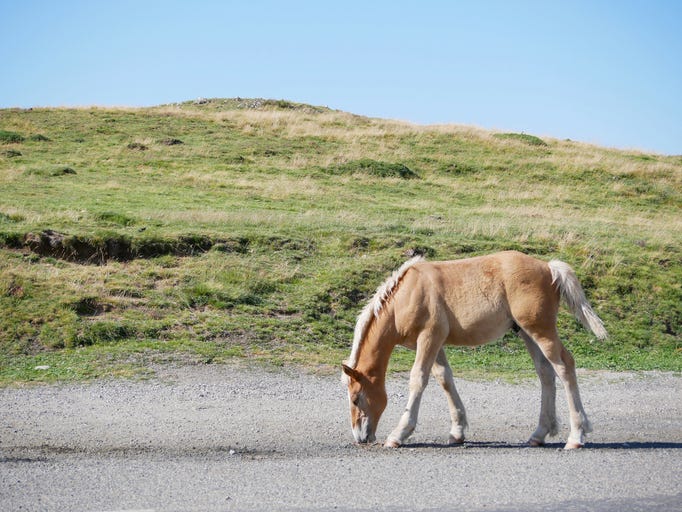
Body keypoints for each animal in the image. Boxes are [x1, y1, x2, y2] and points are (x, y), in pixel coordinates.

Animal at [342, 250, 608, 450]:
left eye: (356, 398)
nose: (360, 437)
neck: (406, 296)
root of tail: (549, 268)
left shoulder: (429, 337)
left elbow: (418, 379)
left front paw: (399, 434)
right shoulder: (435, 343)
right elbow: (444, 378)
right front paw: (457, 432)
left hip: (541, 330)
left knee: (564, 366)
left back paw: (576, 436)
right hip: (526, 332)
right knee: (546, 373)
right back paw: (539, 434)